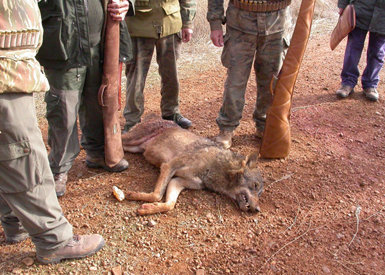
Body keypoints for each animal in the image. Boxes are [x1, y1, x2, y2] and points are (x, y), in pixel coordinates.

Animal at [121, 116, 262, 216]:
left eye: (260, 193)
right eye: (255, 186)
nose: (258, 210)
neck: (213, 168)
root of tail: (155, 117)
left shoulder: (177, 181)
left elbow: (170, 204)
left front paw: (149, 208)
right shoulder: (169, 166)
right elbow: (157, 195)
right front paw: (133, 195)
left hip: (133, 148)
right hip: (129, 140)